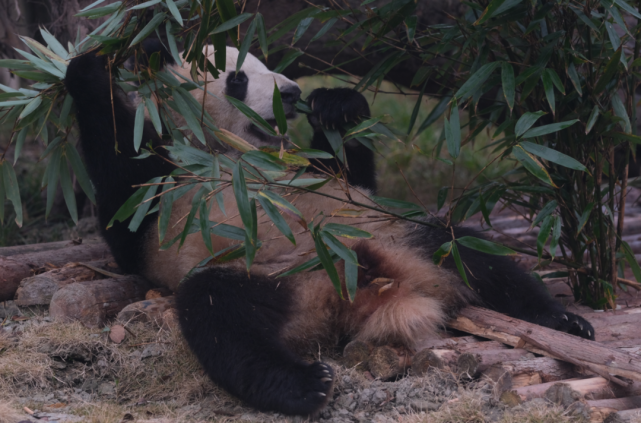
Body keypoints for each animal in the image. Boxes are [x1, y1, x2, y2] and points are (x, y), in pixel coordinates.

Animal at [62, 44, 592, 418]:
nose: (293, 93)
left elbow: (346, 173)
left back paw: (561, 321)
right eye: (238, 78)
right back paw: (302, 387)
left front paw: (336, 104)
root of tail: (360, 287)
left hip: (393, 235)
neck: (225, 148)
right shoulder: (167, 196)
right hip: (269, 276)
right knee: (217, 313)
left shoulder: (323, 181)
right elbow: (127, 199)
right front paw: (90, 68)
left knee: (463, 248)